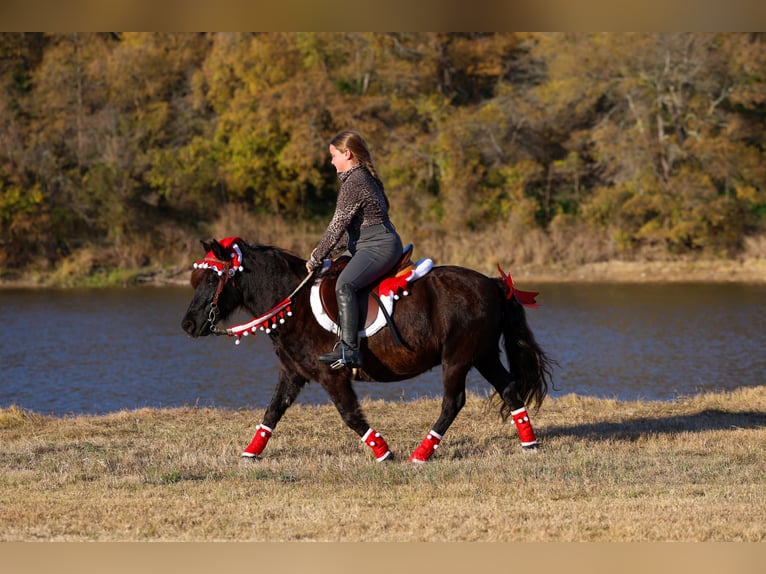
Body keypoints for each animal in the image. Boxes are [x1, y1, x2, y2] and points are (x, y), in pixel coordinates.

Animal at [181, 238, 554, 463]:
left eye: (212, 280)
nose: (187, 324)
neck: (292, 304)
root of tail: (493, 284)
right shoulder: (293, 373)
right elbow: (272, 412)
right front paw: (250, 452)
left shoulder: (330, 376)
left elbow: (350, 414)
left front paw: (383, 451)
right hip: (483, 355)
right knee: (510, 389)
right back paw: (529, 443)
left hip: (457, 359)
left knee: (453, 402)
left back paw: (421, 453)